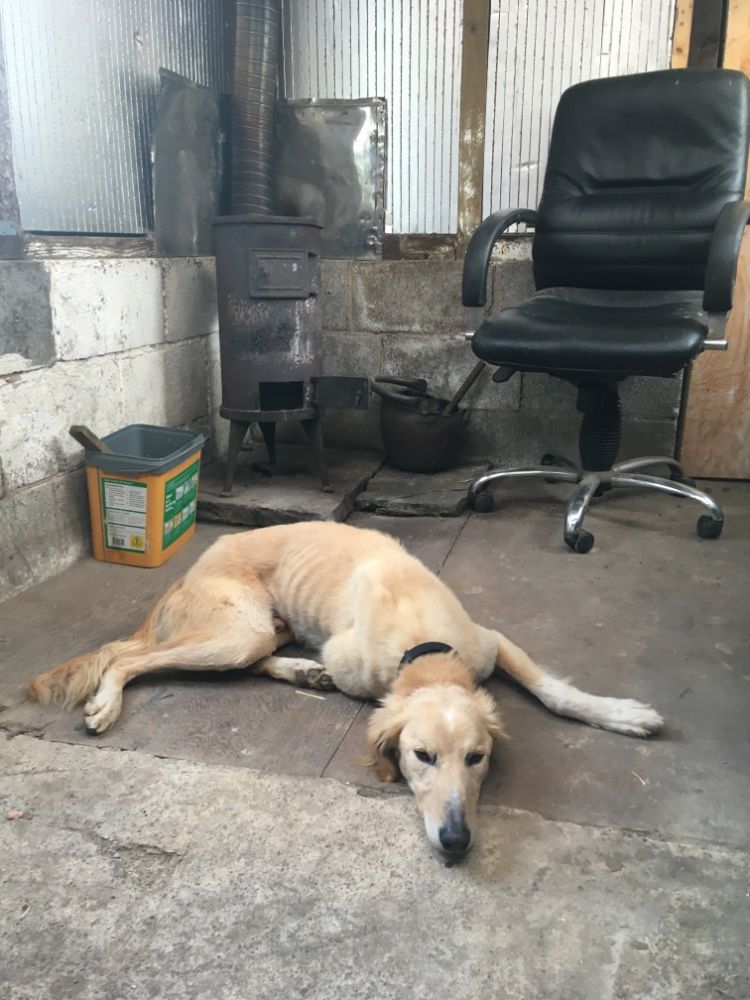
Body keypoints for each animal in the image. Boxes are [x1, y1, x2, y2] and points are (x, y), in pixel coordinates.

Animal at [28, 521, 663, 858]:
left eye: (476, 758)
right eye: (420, 757)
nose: (456, 840)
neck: (425, 646)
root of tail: (189, 569)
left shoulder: (490, 641)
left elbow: (553, 689)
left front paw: (621, 713)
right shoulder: (353, 658)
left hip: (261, 631)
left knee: (246, 664)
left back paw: (301, 673)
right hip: (238, 631)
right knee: (125, 657)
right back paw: (105, 701)